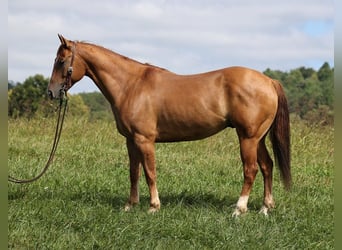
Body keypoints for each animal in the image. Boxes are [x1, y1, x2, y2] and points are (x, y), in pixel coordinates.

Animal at [47, 34, 292, 216]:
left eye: (61, 61)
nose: (51, 92)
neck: (131, 84)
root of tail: (269, 81)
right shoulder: (131, 141)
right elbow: (134, 172)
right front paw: (130, 205)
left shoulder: (144, 140)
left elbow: (150, 172)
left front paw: (153, 207)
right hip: (257, 138)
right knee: (267, 166)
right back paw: (264, 208)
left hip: (248, 138)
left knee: (251, 170)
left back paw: (239, 210)